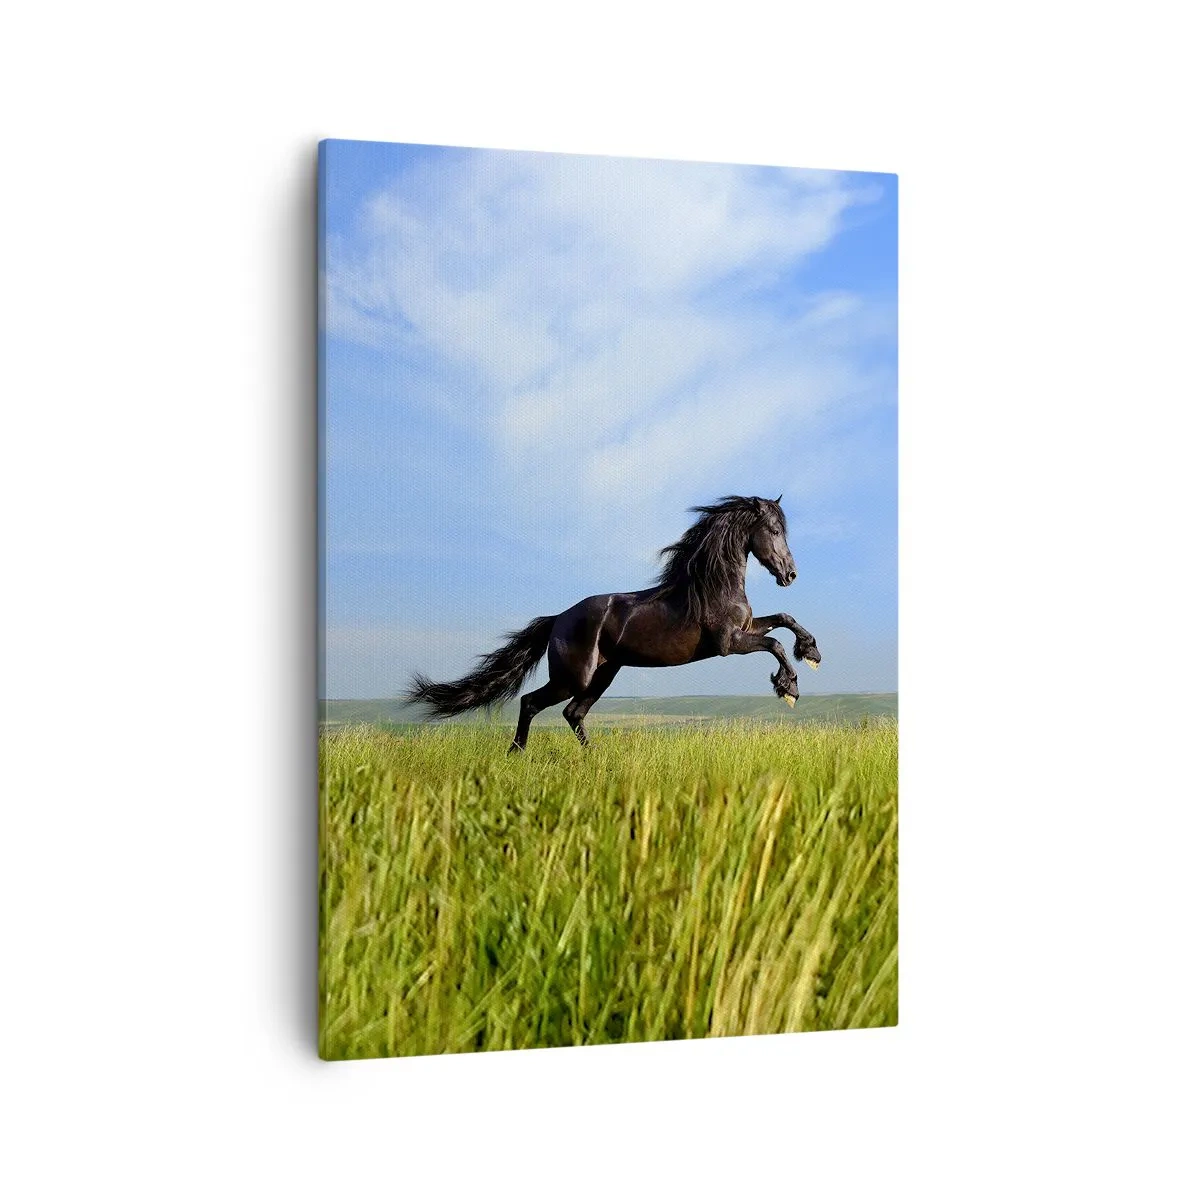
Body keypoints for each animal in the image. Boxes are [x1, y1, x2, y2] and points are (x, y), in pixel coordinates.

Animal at [405, 495, 821, 752]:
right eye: (774, 531)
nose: (791, 574)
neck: (713, 586)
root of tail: (557, 620)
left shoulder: (746, 628)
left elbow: (784, 619)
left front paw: (811, 652)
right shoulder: (728, 643)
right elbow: (775, 644)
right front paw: (789, 688)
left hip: (604, 674)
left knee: (573, 713)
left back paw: (593, 756)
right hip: (573, 677)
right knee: (531, 702)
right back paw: (516, 753)